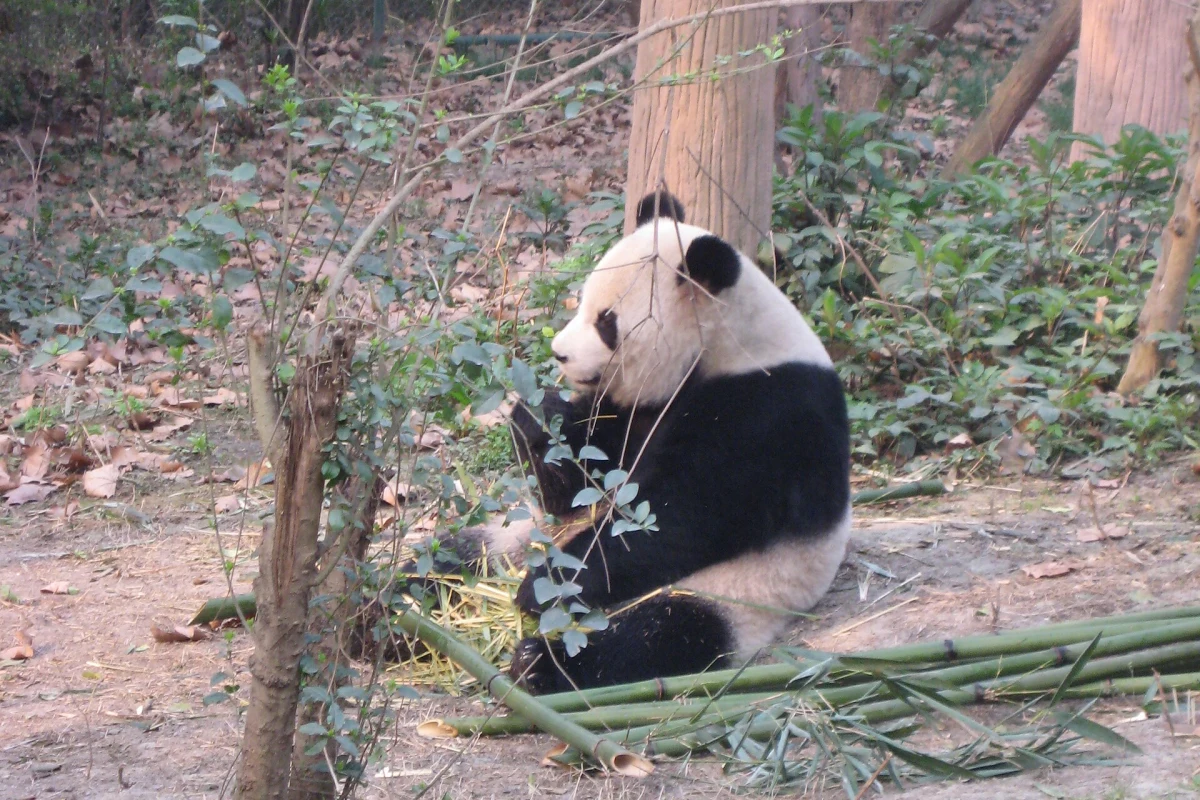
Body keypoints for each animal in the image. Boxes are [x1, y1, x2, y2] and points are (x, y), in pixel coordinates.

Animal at [444, 191, 851, 694]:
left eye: (607, 322)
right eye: (582, 301)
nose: (559, 353)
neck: (729, 346)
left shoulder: (769, 414)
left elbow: (682, 519)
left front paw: (544, 585)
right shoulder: (638, 410)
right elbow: (584, 477)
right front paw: (538, 418)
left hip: (742, 589)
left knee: (660, 633)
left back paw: (540, 661)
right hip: (517, 536)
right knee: (461, 555)